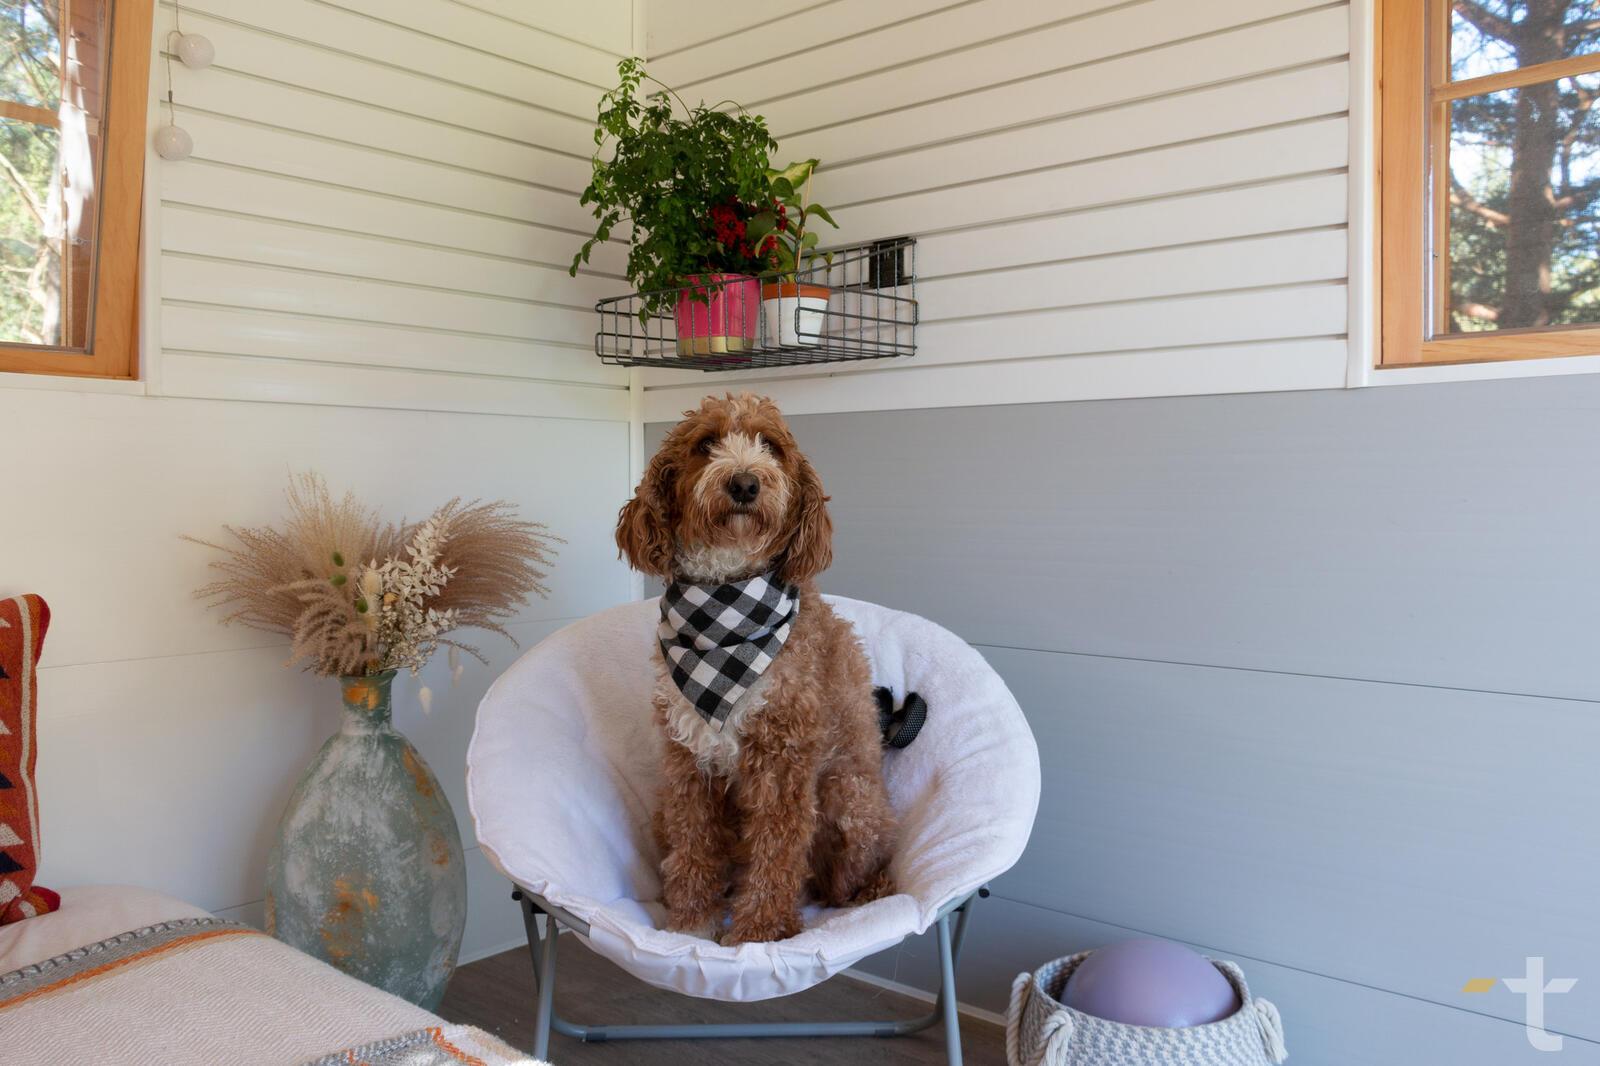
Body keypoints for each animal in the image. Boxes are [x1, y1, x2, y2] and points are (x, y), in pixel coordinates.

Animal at [616, 393, 896, 945]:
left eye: (771, 446)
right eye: (706, 444)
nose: (745, 483)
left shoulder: (784, 756)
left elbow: (779, 848)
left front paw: (758, 931)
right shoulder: (689, 760)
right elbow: (695, 842)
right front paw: (691, 923)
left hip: (847, 798)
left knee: (848, 882)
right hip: (663, 807)